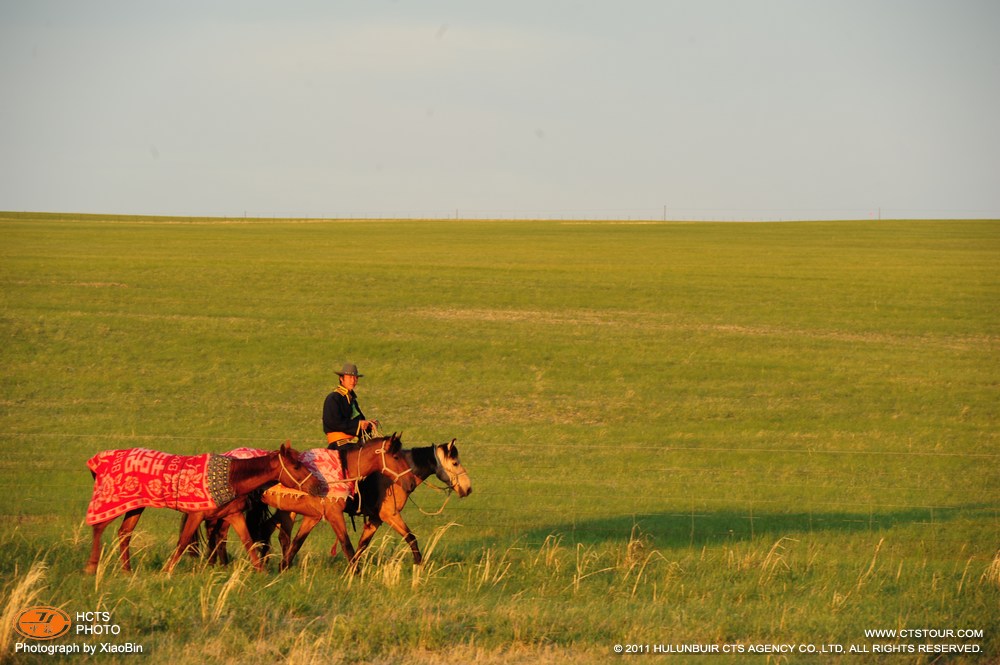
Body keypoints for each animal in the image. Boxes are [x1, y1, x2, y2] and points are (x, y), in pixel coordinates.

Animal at [86, 438, 322, 572]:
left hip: (136, 506)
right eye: (296, 465)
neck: (231, 477)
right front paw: (167, 571)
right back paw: (91, 567)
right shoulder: (196, 514)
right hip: (113, 501)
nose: (317, 485)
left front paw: (261, 571)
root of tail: (100, 459)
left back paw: (127, 570)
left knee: (124, 533)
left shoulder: (233, 515)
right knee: (99, 527)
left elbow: (247, 541)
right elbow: (182, 542)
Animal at [262, 438, 472, 568]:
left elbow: (362, 544)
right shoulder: (390, 515)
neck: (394, 477)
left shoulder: (375, 519)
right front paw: (419, 566)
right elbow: (411, 537)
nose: (468, 488)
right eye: (455, 463)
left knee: (275, 530)